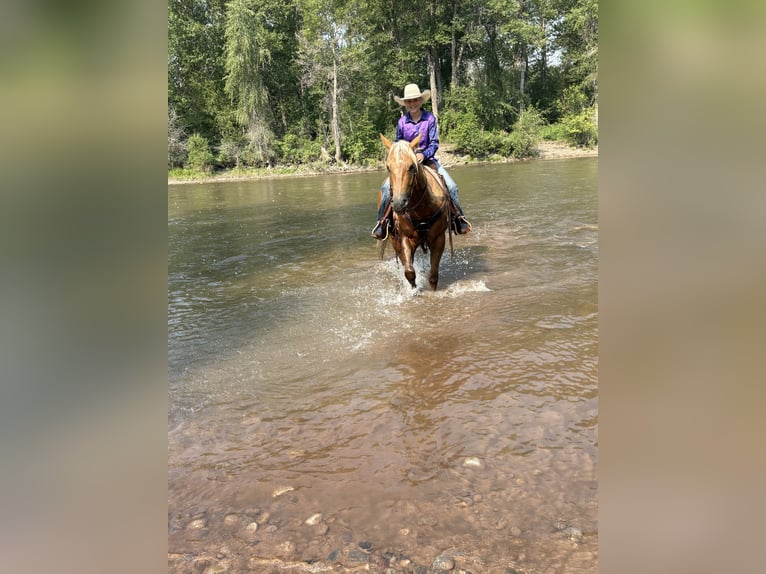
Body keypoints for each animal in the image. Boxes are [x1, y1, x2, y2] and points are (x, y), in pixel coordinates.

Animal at [376, 133, 454, 291]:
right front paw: (414, 289)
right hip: (394, 240)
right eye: (388, 167)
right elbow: (409, 272)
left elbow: (433, 277)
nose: (399, 203)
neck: (421, 210)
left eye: (412, 166)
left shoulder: (438, 239)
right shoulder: (405, 238)